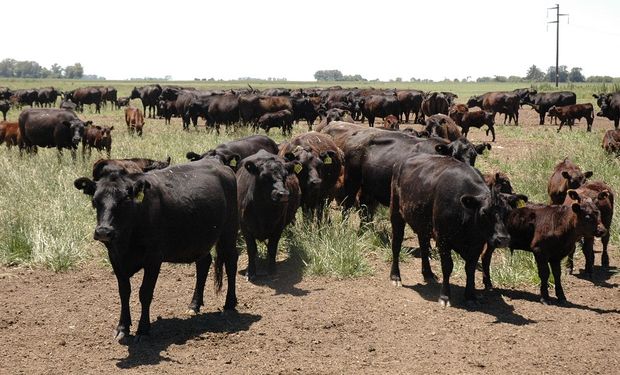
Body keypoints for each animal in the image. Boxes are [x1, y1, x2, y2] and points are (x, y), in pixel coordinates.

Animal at [72, 160, 237, 342]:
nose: (103, 231)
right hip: (199, 240)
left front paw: (143, 330)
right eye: (95, 200)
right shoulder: (115, 258)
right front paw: (122, 327)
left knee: (231, 263)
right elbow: (124, 292)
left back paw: (229, 304)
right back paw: (194, 305)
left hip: (229, 231)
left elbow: (145, 293)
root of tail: (217, 162)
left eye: (125, 200)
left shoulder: (153, 258)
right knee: (203, 264)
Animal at [390, 154, 512, 306]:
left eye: (507, 212)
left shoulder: (477, 244)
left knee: (424, 247)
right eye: (484, 212)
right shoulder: (443, 239)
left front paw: (470, 295)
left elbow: (470, 268)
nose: (503, 239)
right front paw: (445, 296)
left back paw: (428, 274)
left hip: (423, 224)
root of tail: (401, 161)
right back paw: (395, 276)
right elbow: (447, 266)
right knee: (396, 245)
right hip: (396, 214)